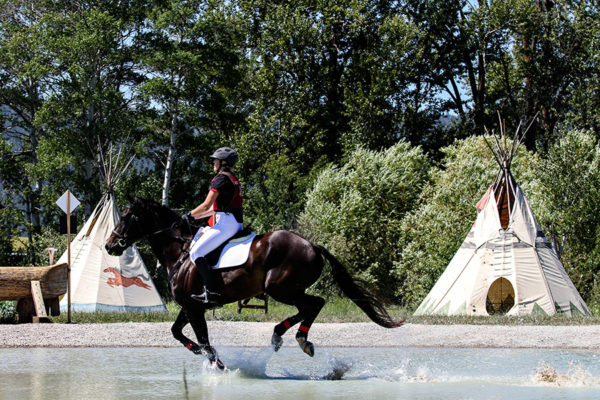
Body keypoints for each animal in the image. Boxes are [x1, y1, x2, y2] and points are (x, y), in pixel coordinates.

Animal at [105, 195, 405, 369]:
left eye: (127, 216)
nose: (110, 245)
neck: (179, 250)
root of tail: (312, 245)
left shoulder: (194, 308)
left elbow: (203, 340)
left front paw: (218, 366)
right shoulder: (189, 307)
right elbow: (178, 333)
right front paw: (201, 354)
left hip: (280, 288)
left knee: (314, 303)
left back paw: (296, 338)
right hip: (287, 289)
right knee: (308, 307)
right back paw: (284, 335)